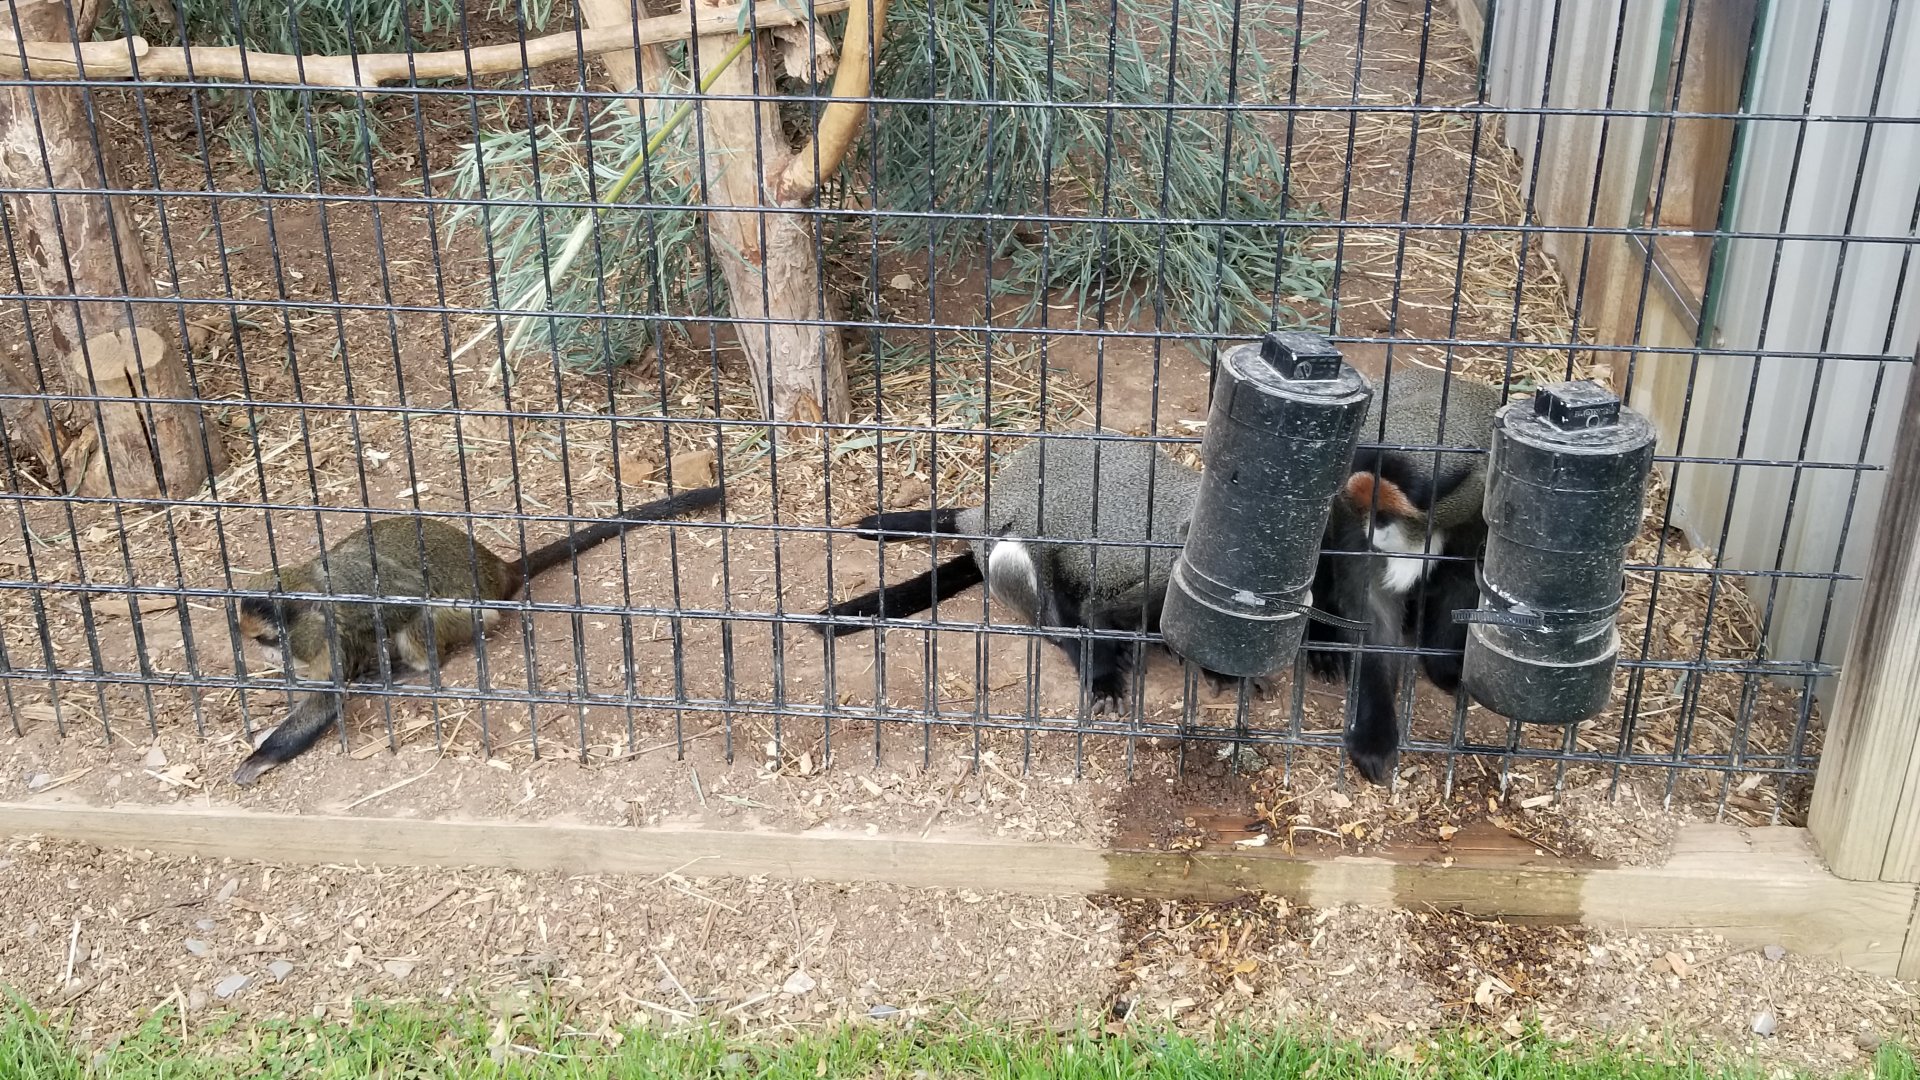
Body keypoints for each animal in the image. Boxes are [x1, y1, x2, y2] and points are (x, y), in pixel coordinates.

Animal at [231, 484, 724, 786]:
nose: (267, 659)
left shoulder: (341, 622)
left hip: (470, 616)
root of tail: (496, 570)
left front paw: (263, 757)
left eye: (268, 640)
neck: (314, 588)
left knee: (425, 620)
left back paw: (413, 668)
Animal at [812, 437, 1268, 715]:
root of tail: (979, 517)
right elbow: (1082, 603)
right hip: (1010, 546)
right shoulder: (1145, 571)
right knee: (1025, 567)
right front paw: (1102, 677)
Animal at [1305, 364, 1503, 786]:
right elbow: (1371, 613)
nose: (1375, 532)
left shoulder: (1482, 514)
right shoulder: (1349, 513)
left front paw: (1449, 669)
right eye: (1369, 512)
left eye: (1388, 515)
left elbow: (1463, 582)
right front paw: (1375, 735)